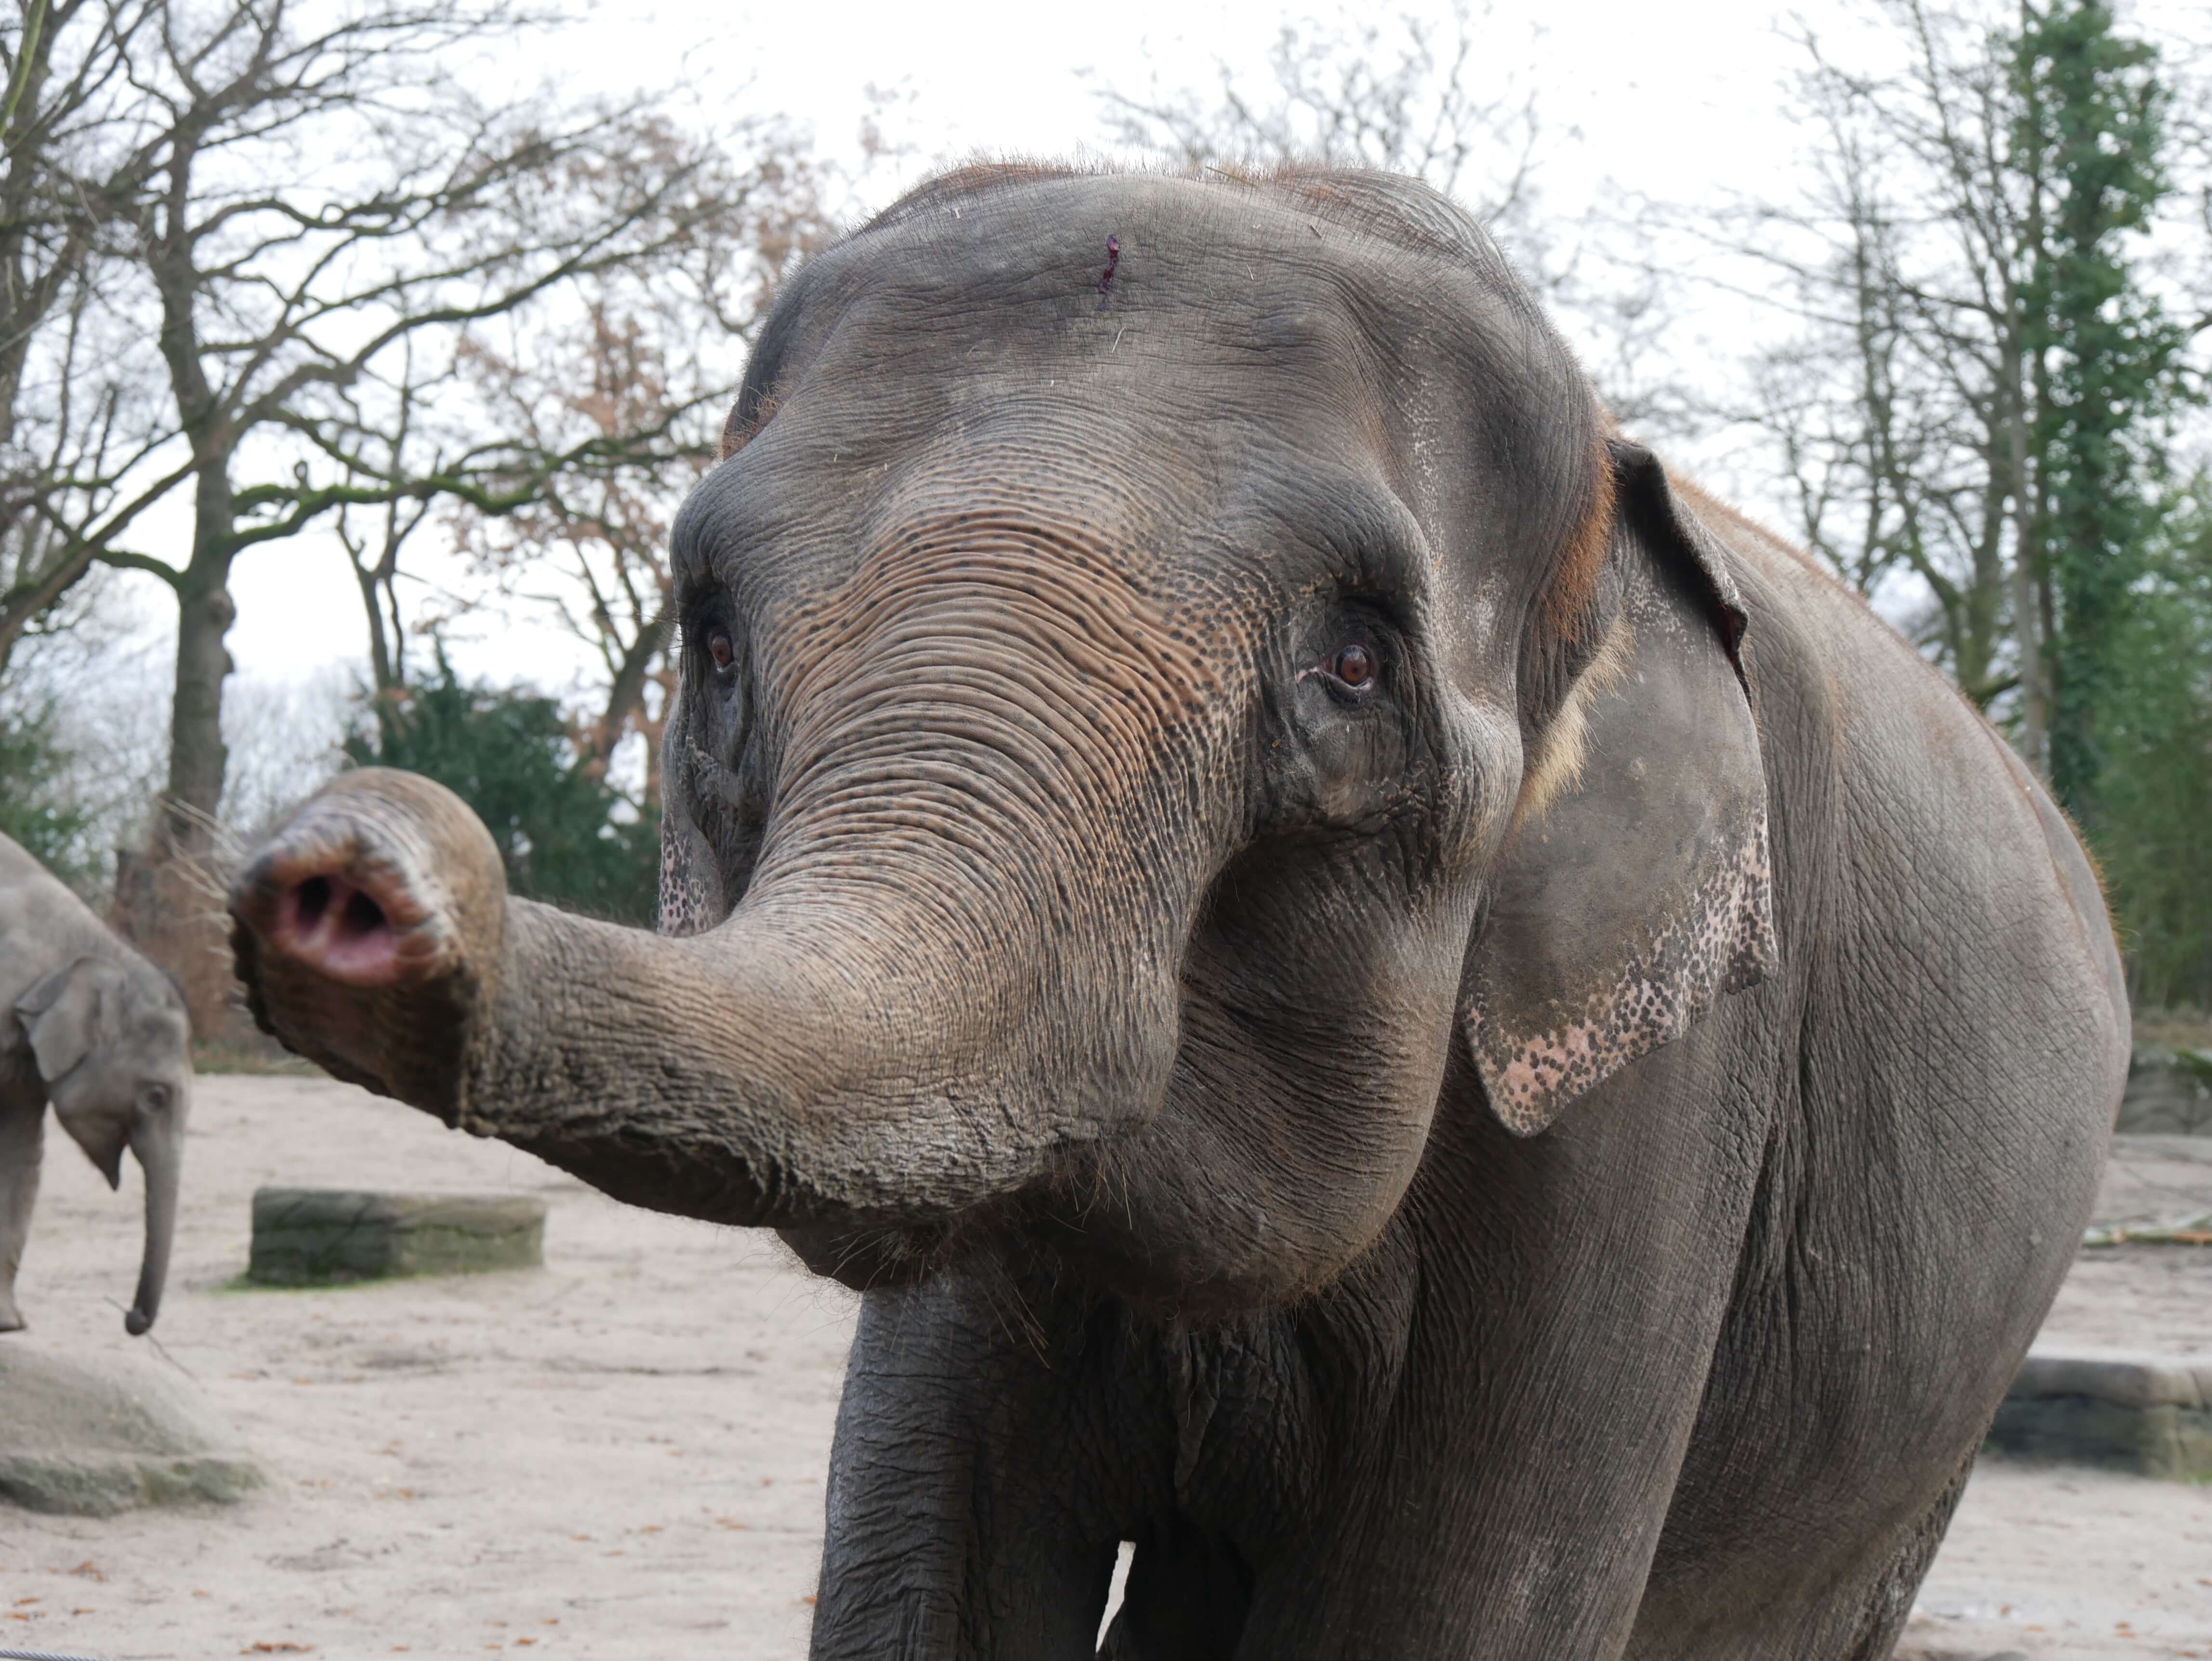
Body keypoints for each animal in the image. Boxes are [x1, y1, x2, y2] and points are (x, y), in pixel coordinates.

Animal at [225, 165, 2125, 1660]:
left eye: (1352, 663)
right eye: (707, 639)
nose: (342, 877)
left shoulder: (1660, 1102)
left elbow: (1444, 1608)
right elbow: (940, 1563)